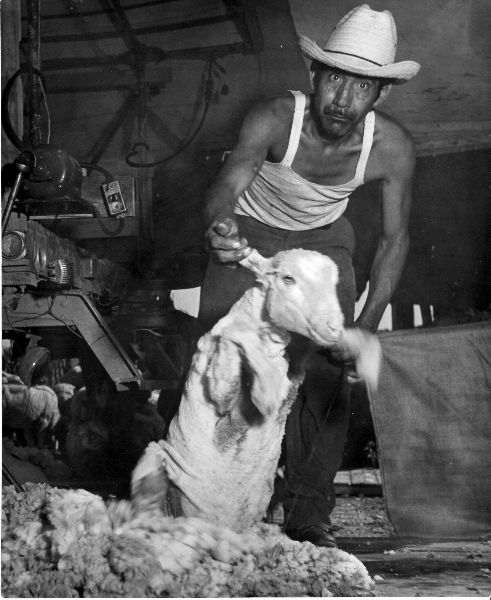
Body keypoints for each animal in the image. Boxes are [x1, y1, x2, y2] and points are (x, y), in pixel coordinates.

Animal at [133, 247, 382, 528]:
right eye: (287, 278)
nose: (332, 328)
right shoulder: (220, 392)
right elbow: (234, 345)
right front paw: (265, 391)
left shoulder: (295, 374)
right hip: (155, 457)